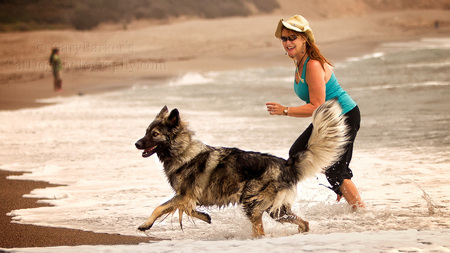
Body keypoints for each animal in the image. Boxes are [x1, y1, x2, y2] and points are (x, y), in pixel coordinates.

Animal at [134, 99, 348, 237]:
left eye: (154, 134)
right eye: (146, 131)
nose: (136, 144)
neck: (183, 151)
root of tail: (286, 164)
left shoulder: (184, 195)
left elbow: (160, 207)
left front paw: (145, 225)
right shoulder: (187, 197)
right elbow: (187, 209)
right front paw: (205, 216)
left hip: (252, 204)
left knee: (260, 231)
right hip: (276, 211)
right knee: (303, 222)